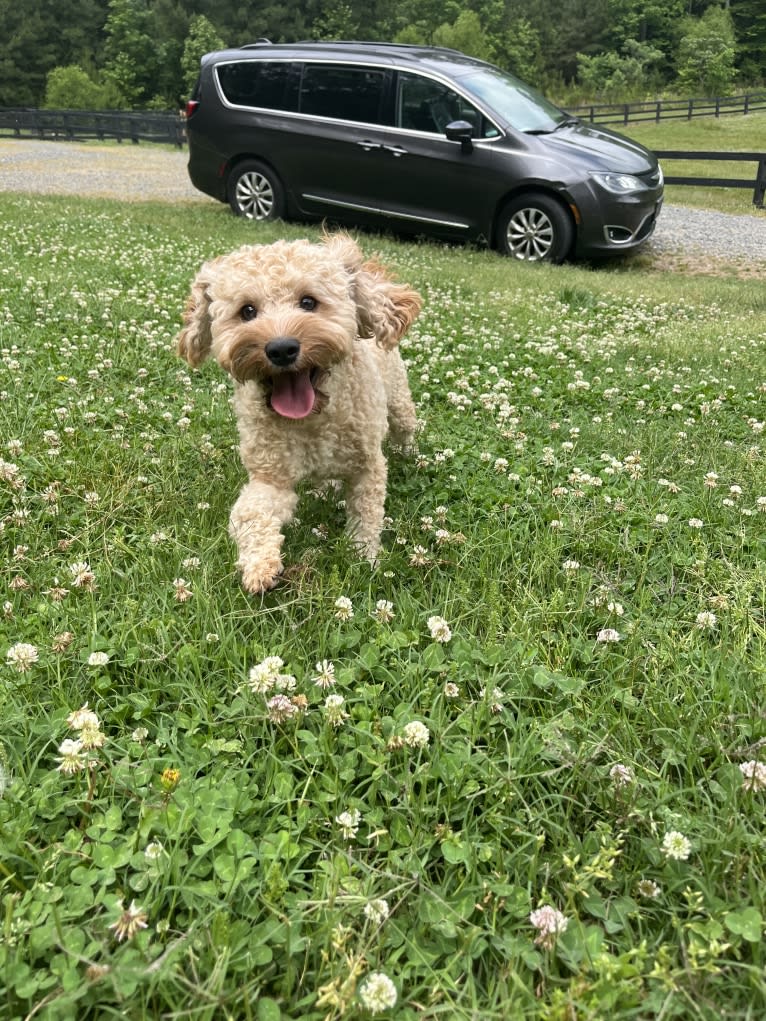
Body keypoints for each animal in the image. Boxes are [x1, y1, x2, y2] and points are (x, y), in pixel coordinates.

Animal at [177, 232, 422, 596]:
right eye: (247, 311)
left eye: (308, 302)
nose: (281, 349)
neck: (313, 419)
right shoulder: (271, 475)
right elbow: (251, 513)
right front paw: (259, 565)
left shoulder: (368, 467)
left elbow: (367, 514)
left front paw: (363, 558)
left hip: (398, 398)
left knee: (405, 428)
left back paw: (410, 455)